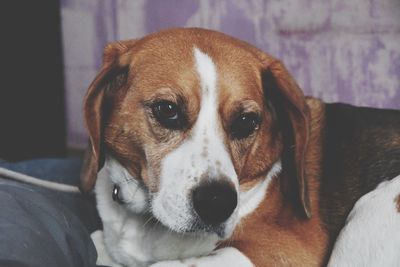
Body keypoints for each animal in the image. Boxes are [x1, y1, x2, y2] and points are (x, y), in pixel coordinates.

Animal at [81, 28, 400, 266]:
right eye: (167, 110)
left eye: (246, 122)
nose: (217, 203)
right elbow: (96, 242)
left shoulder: (279, 251)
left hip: (370, 212)